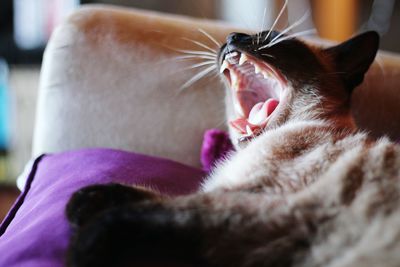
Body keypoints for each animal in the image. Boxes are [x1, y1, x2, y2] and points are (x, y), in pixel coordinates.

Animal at [65, 29, 400, 267]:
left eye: (273, 37)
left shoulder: (265, 206)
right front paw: (82, 202)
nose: (232, 37)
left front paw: (81, 247)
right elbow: (154, 196)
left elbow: (142, 213)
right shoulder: (232, 192)